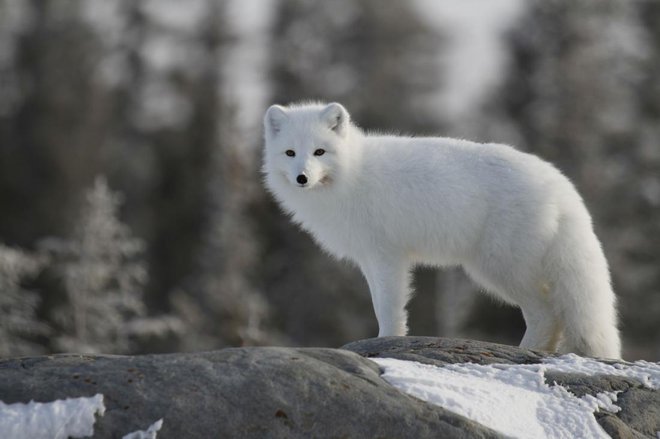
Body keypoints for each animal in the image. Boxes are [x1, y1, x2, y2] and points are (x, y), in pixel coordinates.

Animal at [262, 101, 620, 360]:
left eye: (319, 152)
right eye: (290, 153)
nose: (302, 178)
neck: (352, 175)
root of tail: (560, 185)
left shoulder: (387, 256)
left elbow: (388, 308)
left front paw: (385, 343)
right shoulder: (369, 259)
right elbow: (379, 302)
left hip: (499, 269)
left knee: (546, 314)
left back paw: (522, 352)